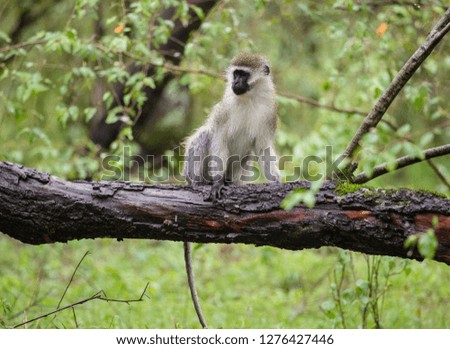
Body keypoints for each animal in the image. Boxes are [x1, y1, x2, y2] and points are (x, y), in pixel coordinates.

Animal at [181, 52, 280, 326]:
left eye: (243, 74)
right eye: (234, 73)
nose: (235, 83)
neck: (249, 98)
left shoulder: (269, 113)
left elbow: (263, 148)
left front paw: (278, 181)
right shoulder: (225, 110)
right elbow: (219, 137)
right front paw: (215, 183)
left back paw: (231, 183)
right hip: (193, 168)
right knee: (205, 134)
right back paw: (202, 182)